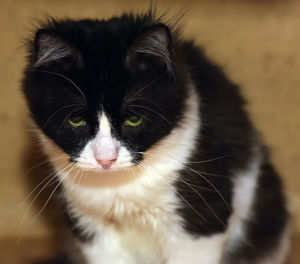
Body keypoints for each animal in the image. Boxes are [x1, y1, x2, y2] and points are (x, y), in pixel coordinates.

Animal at [21, 10, 288, 264]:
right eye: (76, 121)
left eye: (134, 120)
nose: (106, 159)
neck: (121, 187)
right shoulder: (91, 224)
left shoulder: (201, 216)